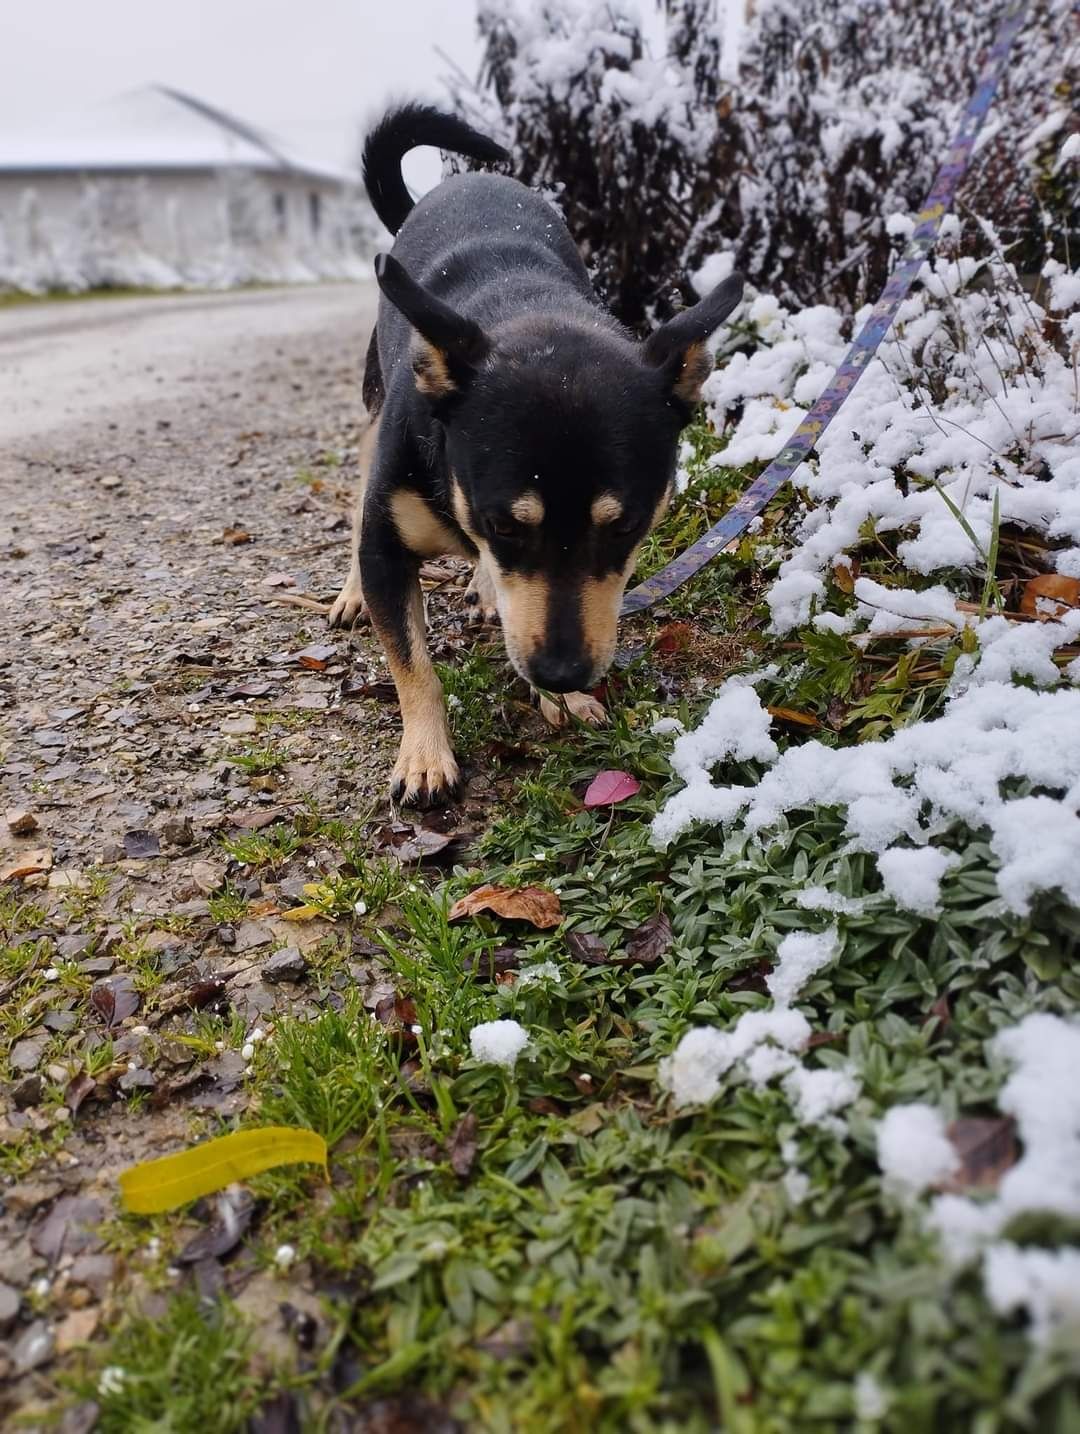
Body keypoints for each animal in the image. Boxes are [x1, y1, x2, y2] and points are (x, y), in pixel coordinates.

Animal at [328, 106, 740, 808]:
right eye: (503, 523)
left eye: (627, 527)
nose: (561, 672)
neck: (527, 310)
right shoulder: (390, 545)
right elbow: (411, 661)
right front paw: (425, 756)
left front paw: (565, 700)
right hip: (375, 401)